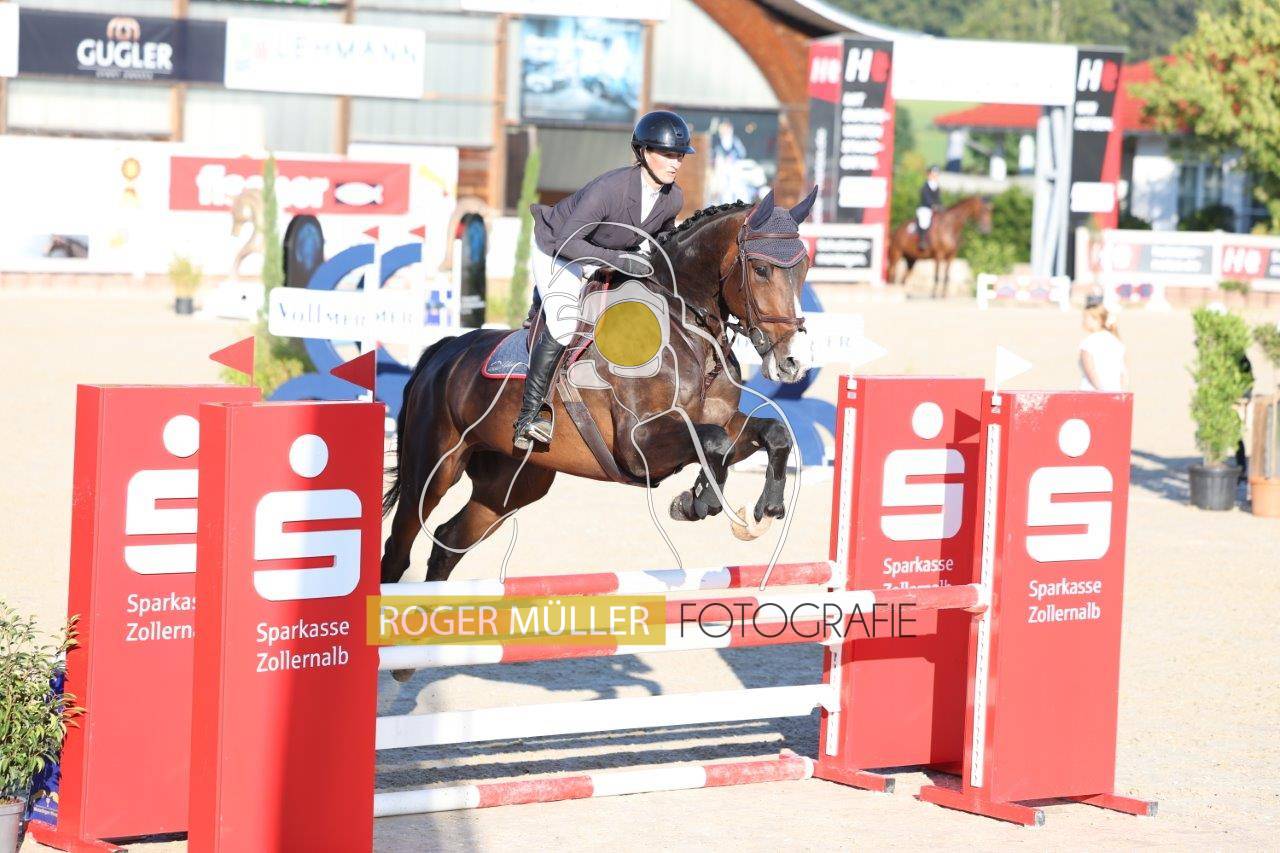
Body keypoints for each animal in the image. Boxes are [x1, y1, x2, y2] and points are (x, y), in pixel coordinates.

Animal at [380, 189, 817, 592]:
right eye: (760, 269)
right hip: (432, 470)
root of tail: (444, 351)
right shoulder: (638, 445)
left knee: (447, 543)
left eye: (805, 268)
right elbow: (713, 443)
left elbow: (771, 433)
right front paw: (696, 502)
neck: (686, 328)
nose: (794, 362)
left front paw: (765, 507)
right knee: (398, 550)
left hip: (509, 485)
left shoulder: (724, 422)